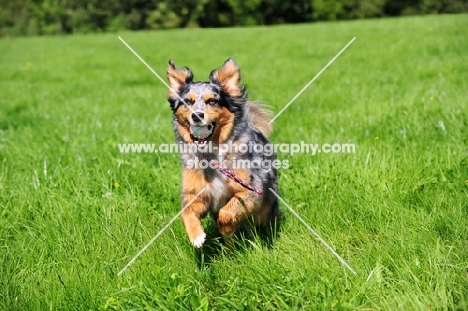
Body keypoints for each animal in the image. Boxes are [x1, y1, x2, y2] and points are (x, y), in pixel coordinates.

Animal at [166, 58, 280, 249]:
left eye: (212, 101)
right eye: (188, 102)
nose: (197, 116)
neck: (212, 155)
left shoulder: (250, 190)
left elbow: (226, 213)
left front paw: (226, 229)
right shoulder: (197, 193)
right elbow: (186, 211)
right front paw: (196, 236)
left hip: (265, 204)